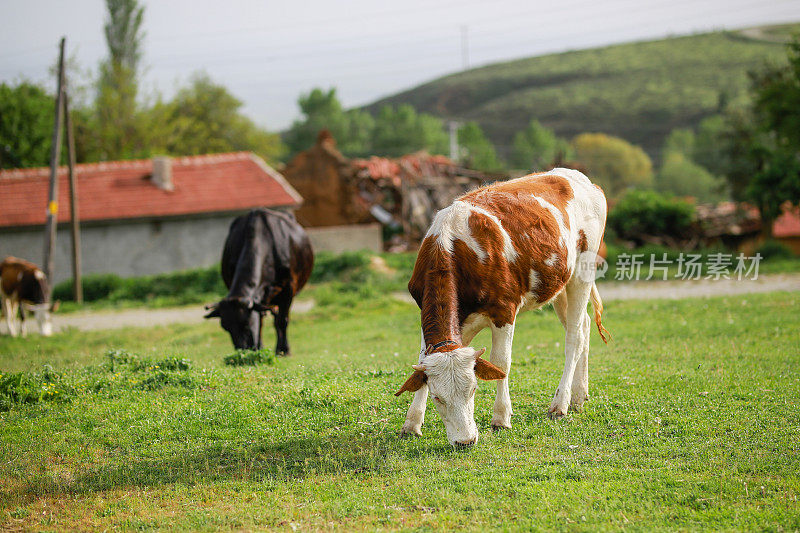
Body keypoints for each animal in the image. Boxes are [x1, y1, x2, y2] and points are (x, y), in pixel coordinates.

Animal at [205, 208, 314, 354]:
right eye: (225, 327)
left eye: (246, 324)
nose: (243, 350)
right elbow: (260, 320)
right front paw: (260, 347)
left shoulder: (289, 288)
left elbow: (282, 321)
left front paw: (284, 349)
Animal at [396, 168, 608, 446]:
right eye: (437, 397)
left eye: (473, 389)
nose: (465, 441)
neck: (452, 247)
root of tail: (575, 176)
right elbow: (421, 363)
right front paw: (412, 422)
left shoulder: (504, 310)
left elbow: (501, 364)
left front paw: (501, 418)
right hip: (560, 283)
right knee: (584, 327)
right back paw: (579, 396)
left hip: (583, 273)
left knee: (574, 338)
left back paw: (560, 404)